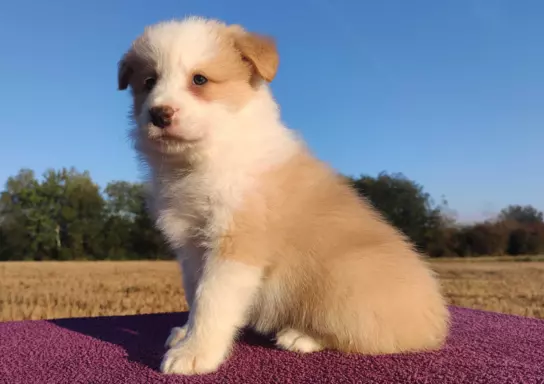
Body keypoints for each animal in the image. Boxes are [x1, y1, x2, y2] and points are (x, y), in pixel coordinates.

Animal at [118, 17, 450, 376]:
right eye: (149, 82)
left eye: (200, 79)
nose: (159, 114)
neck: (207, 154)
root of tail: (437, 323)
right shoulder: (192, 246)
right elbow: (195, 294)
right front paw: (184, 334)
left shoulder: (235, 242)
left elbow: (211, 302)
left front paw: (195, 353)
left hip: (344, 275)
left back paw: (299, 336)